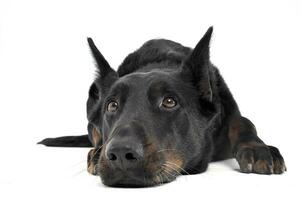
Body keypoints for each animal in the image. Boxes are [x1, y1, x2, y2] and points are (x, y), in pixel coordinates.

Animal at [38, 27, 284, 188]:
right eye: (112, 105)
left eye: (169, 101)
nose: (120, 154)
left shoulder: (229, 110)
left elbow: (244, 122)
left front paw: (258, 148)